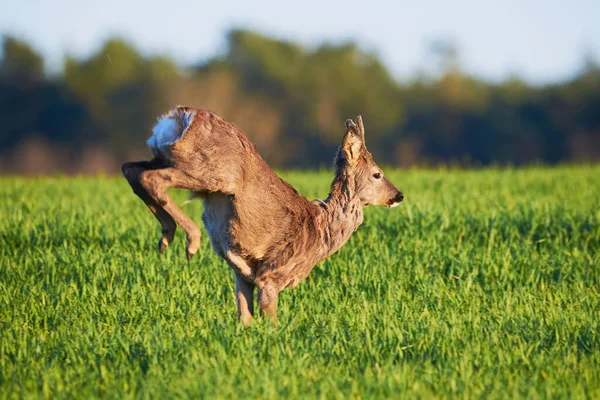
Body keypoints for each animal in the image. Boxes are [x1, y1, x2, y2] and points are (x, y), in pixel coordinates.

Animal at [121, 107, 404, 324]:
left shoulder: (243, 275)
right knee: (151, 178)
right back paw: (191, 241)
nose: (399, 195)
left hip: (168, 159)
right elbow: (271, 322)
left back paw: (166, 236)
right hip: (211, 173)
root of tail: (181, 116)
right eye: (377, 174)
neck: (320, 230)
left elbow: (244, 319)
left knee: (131, 169)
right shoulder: (272, 275)